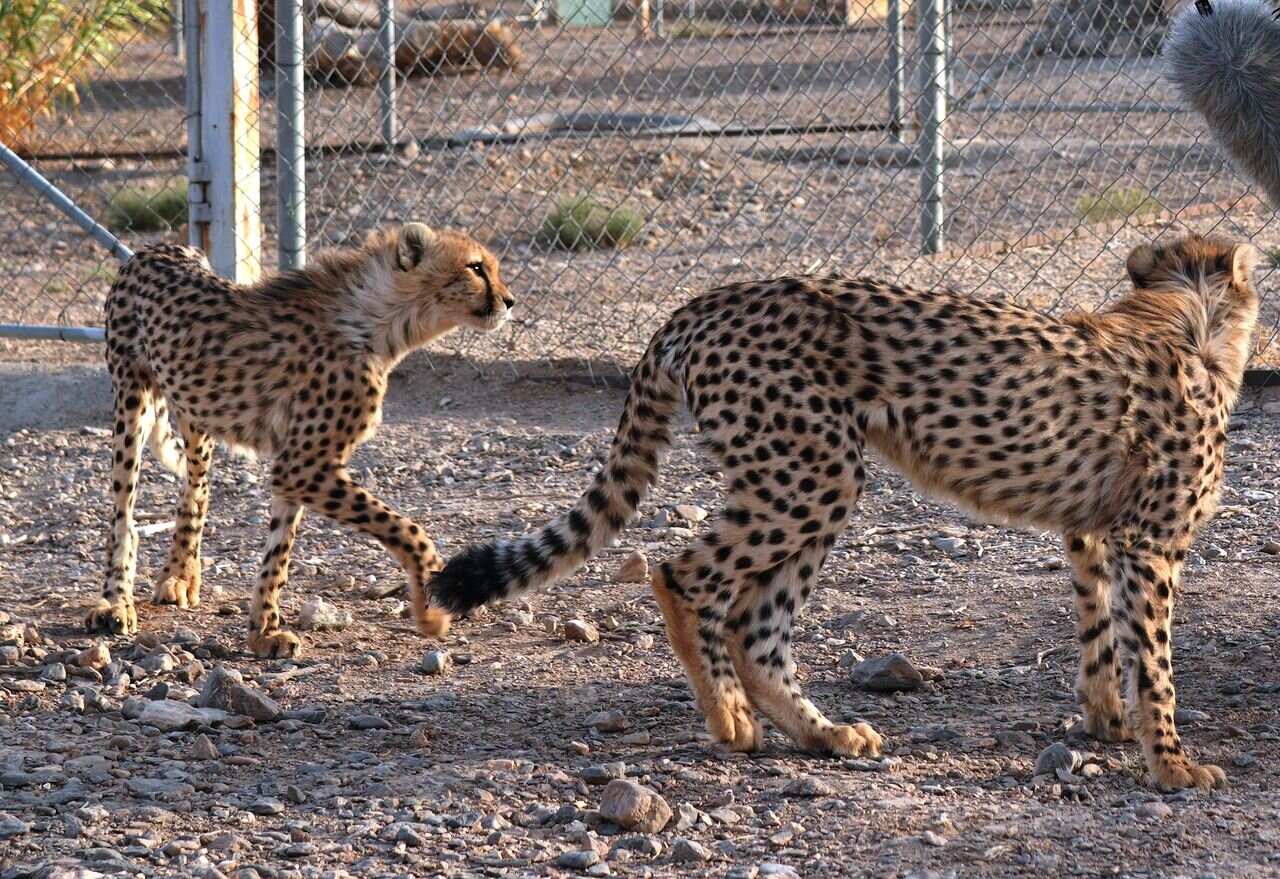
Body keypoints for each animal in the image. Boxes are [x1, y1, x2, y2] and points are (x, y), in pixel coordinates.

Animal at [83, 223, 514, 655]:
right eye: (476, 268)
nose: (510, 301)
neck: (376, 320)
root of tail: (159, 247)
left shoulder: (296, 467)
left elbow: (279, 551)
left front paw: (264, 631)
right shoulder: (302, 466)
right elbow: (410, 531)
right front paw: (433, 606)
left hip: (195, 412)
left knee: (195, 489)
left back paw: (180, 576)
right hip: (132, 401)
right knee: (124, 513)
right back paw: (114, 602)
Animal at [432, 235, 1259, 798]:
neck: (1187, 312)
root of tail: (700, 303)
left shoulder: (1091, 531)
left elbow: (1099, 635)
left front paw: (1105, 720)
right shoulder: (1150, 544)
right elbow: (1154, 661)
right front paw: (1172, 761)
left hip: (808, 478)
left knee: (754, 622)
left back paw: (822, 732)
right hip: (812, 472)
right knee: (683, 573)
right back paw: (730, 717)